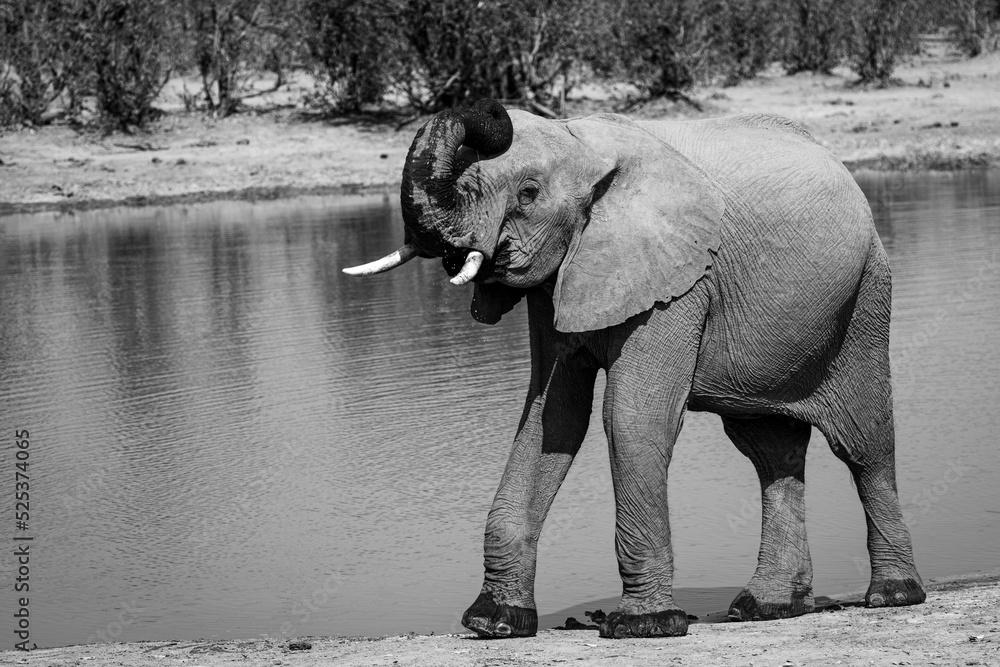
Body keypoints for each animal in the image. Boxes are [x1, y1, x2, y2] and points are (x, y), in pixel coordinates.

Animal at [343, 100, 926, 639]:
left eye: (528, 194)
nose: (491, 106)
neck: (581, 145)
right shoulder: (561, 278)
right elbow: (550, 419)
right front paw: (493, 622)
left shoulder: (681, 277)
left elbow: (630, 419)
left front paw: (644, 626)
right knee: (770, 452)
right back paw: (767, 607)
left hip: (866, 294)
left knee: (864, 444)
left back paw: (893, 594)